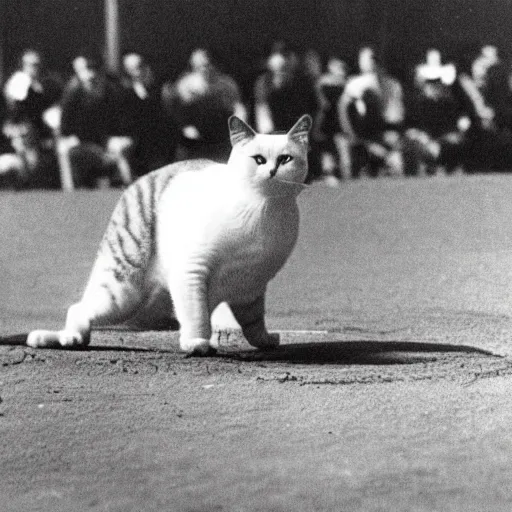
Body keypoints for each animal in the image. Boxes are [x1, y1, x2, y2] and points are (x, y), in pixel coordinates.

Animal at [28, 115, 312, 356]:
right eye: (259, 160)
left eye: (285, 159)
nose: (272, 172)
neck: (265, 208)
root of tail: (141, 179)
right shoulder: (192, 272)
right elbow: (197, 316)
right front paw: (197, 343)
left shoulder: (251, 286)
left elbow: (253, 322)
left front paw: (264, 340)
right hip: (122, 292)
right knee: (79, 308)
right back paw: (71, 338)